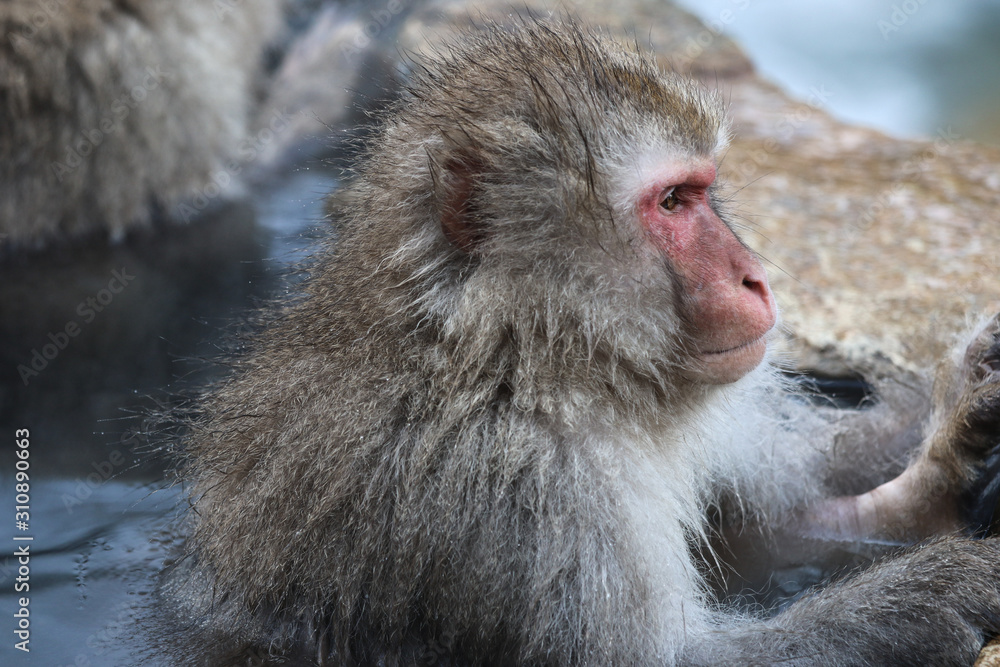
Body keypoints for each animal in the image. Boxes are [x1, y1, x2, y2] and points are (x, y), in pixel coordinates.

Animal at [163, 19, 1000, 666]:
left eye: (701, 191)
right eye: (672, 202)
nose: (756, 278)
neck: (521, 362)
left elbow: (773, 522)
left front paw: (949, 439)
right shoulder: (523, 501)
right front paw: (932, 596)